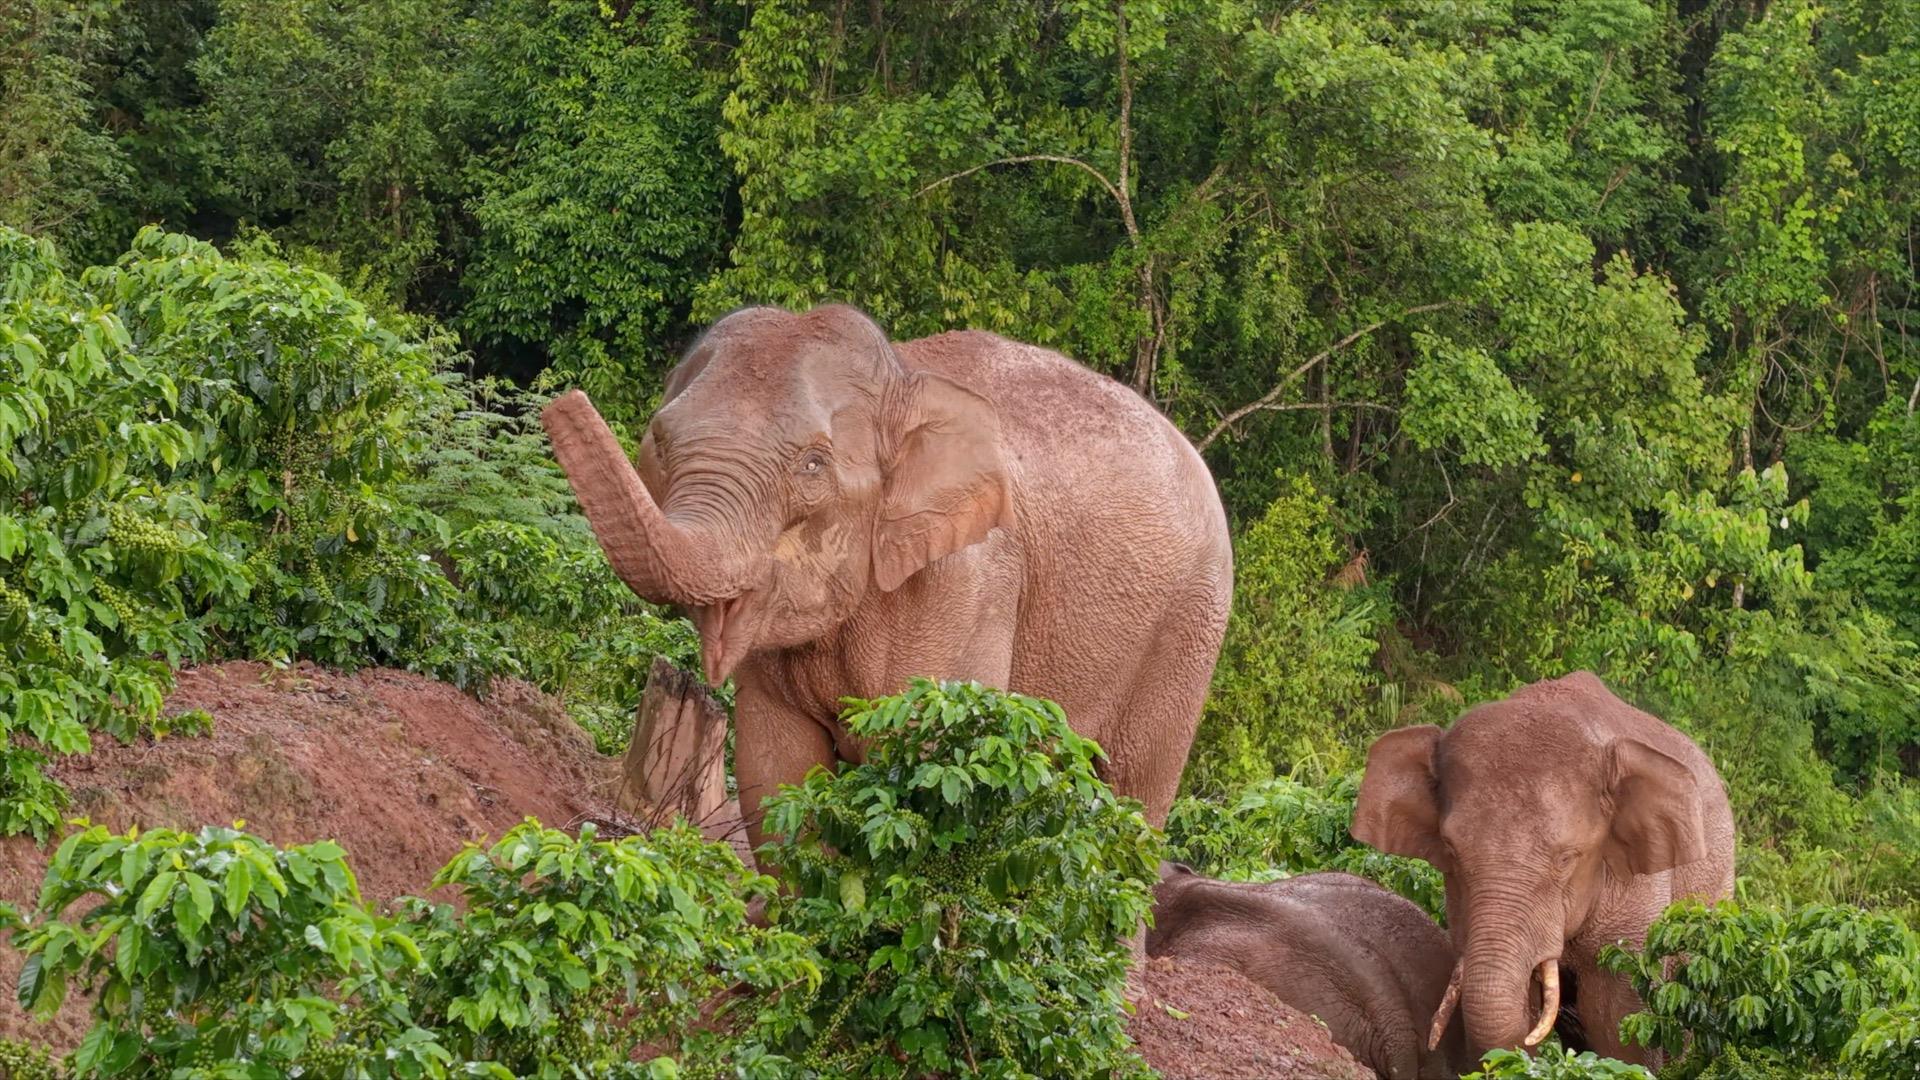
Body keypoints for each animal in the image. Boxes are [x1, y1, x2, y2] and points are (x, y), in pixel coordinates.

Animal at [541, 304, 1233, 851]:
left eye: (813, 465)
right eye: (659, 440)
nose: (562, 400)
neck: (901, 377)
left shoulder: (967, 585)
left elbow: (933, 765)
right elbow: (775, 769)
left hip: (1189, 630)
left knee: (1134, 795)